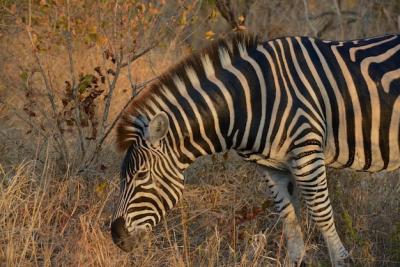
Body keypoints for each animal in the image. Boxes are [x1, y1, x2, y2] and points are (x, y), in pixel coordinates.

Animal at [111, 32, 400, 266]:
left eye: (140, 175)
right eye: (123, 177)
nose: (116, 236)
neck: (250, 101)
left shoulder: (307, 153)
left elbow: (322, 214)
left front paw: (343, 260)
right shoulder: (272, 168)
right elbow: (289, 223)